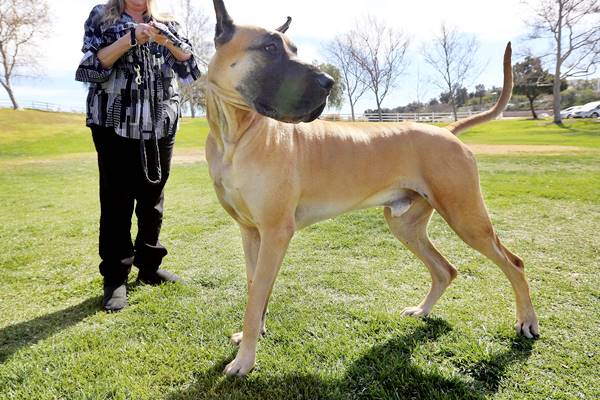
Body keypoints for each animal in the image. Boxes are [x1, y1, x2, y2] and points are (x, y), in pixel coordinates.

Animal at [204, 0, 540, 376]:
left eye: (294, 49)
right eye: (270, 48)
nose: (328, 82)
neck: (235, 136)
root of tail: (446, 130)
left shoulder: (276, 232)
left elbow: (255, 297)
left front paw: (245, 359)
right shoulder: (251, 232)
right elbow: (256, 290)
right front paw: (253, 336)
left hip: (466, 217)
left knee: (514, 263)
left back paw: (527, 321)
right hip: (406, 224)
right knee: (445, 269)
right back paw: (423, 310)